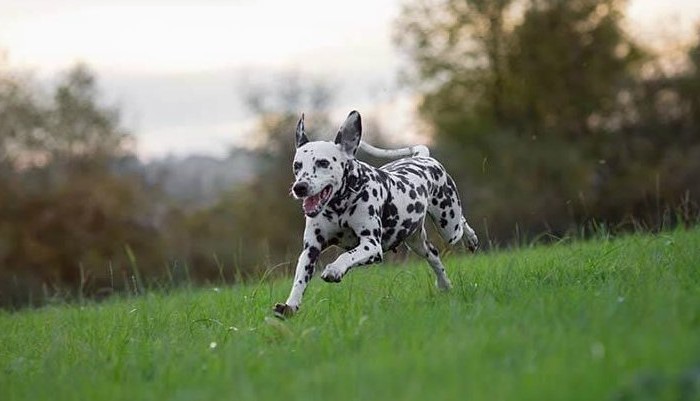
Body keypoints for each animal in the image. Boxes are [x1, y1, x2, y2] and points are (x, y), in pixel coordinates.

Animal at [272, 111, 476, 318]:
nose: (299, 187)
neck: (339, 207)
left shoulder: (371, 246)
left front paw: (334, 269)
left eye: (323, 162)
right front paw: (290, 305)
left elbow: (346, 256)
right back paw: (444, 285)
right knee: (433, 255)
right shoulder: (311, 250)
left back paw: (471, 239)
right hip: (416, 242)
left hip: (448, 225)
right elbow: (300, 280)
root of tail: (424, 158)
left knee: (461, 223)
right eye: (297, 166)